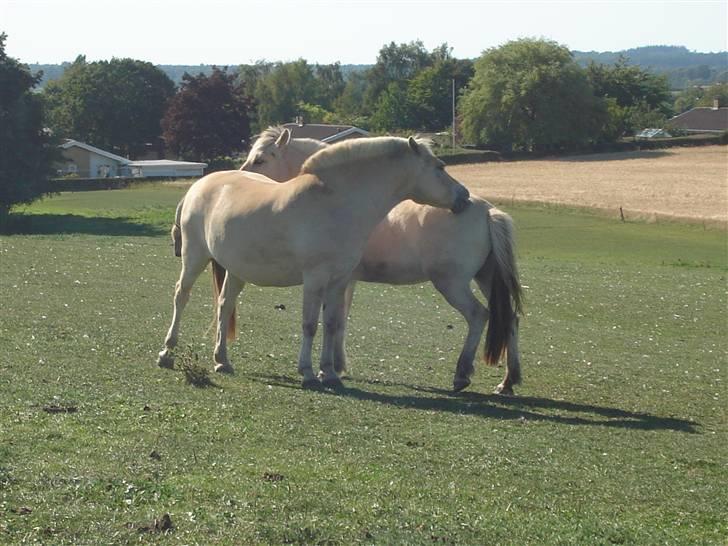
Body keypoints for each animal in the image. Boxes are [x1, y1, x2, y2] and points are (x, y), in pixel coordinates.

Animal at [158, 136, 472, 386]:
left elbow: (332, 323)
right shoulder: (315, 278)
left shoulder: (339, 280)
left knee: (224, 306)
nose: (465, 196)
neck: (335, 202)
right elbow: (309, 324)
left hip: (236, 269)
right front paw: (308, 372)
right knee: (180, 296)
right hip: (195, 257)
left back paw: (222, 360)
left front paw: (329, 373)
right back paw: (167, 353)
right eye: (440, 167)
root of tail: (199, 185)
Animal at [240, 127, 524, 392]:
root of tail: (488, 211)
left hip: (452, 284)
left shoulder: (342, 278)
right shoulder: (344, 279)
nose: (241, 176)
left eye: (260, 160)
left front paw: (331, 368)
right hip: (487, 279)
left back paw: (462, 374)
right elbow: (338, 320)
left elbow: (336, 320)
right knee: (509, 318)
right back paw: (507, 381)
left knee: (478, 315)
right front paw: (335, 367)